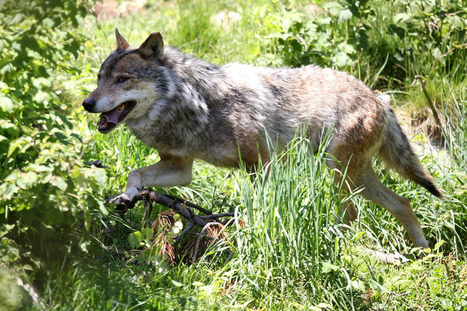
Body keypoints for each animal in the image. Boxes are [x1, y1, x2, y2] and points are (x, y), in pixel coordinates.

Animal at [82, 28, 444, 249]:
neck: (198, 103)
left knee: (354, 215)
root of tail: (380, 99)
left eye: (123, 80)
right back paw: (423, 253)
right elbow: (135, 174)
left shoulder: (262, 165)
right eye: (99, 78)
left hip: (339, 175)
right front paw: (127, 197)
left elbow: (256, 209)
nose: (87, 103)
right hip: (357, 177)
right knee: (403, 203)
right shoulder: (182, 169)